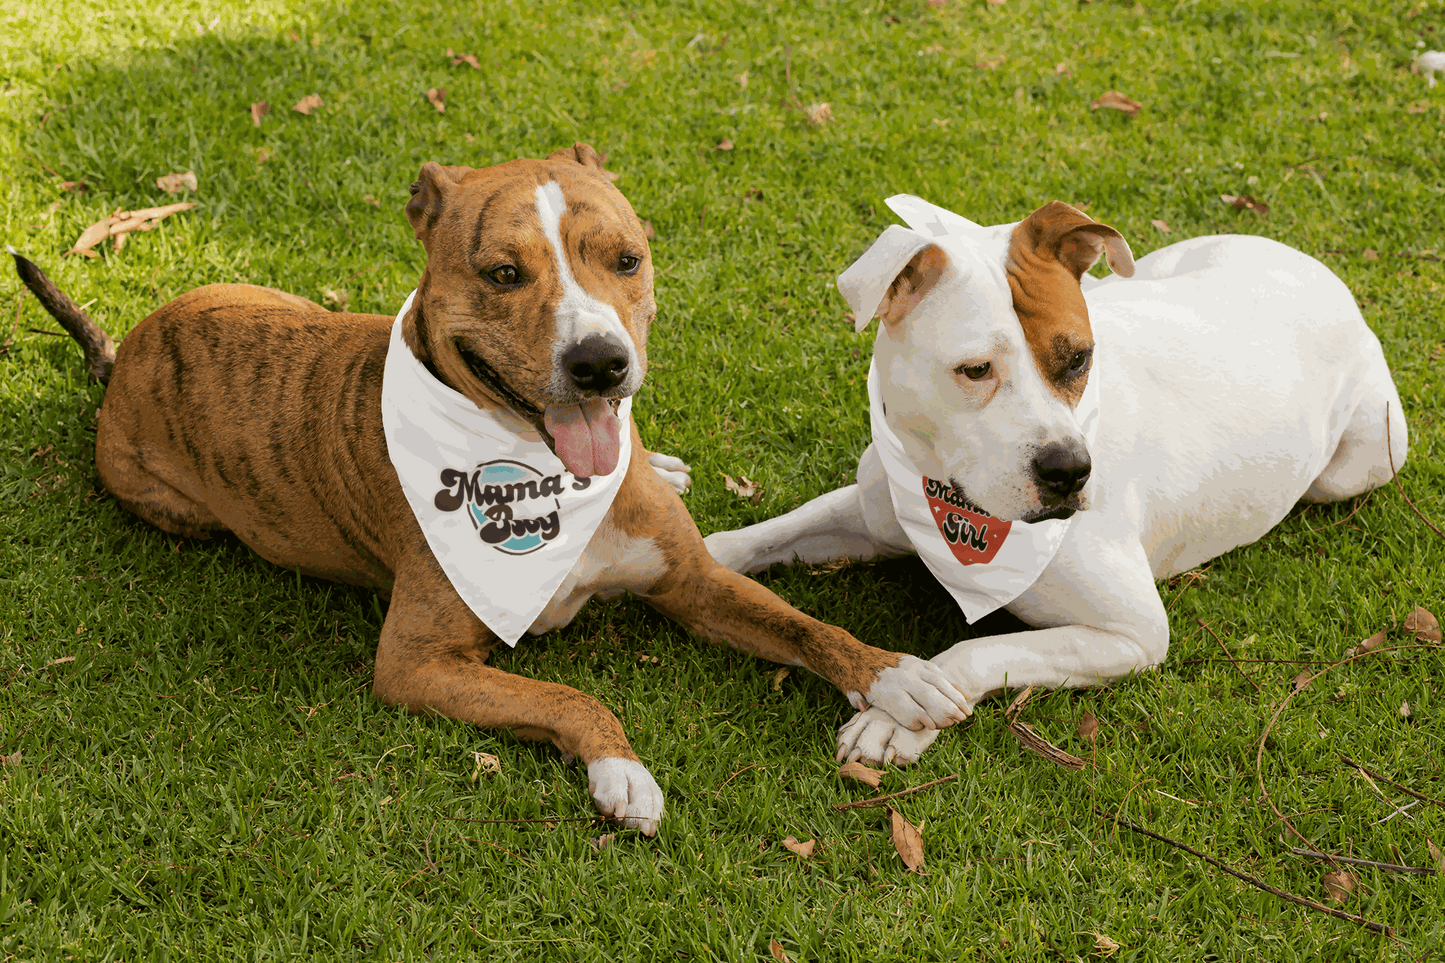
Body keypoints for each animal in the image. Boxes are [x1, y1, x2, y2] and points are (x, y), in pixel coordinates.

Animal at [14, 144, 971, 832]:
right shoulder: (416, 662)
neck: (544, 478)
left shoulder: (692, 581)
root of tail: (128, 356)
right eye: (502, 273)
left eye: (626, 259)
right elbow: (566, 696)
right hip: (172, 505)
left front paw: (898, 678)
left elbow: (806, 625)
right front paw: (620, 769)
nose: (599, 363)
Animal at [705, 195, 1404, 763]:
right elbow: (767, 534)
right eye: (975, 369)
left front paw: (901, 712)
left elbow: (983, 650)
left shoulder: (1132, 634)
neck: (951, 500)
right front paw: (705, 557)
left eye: (1079, 360)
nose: (1070, 470)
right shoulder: (874, 512)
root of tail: (1314, 266)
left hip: (1357, 464)